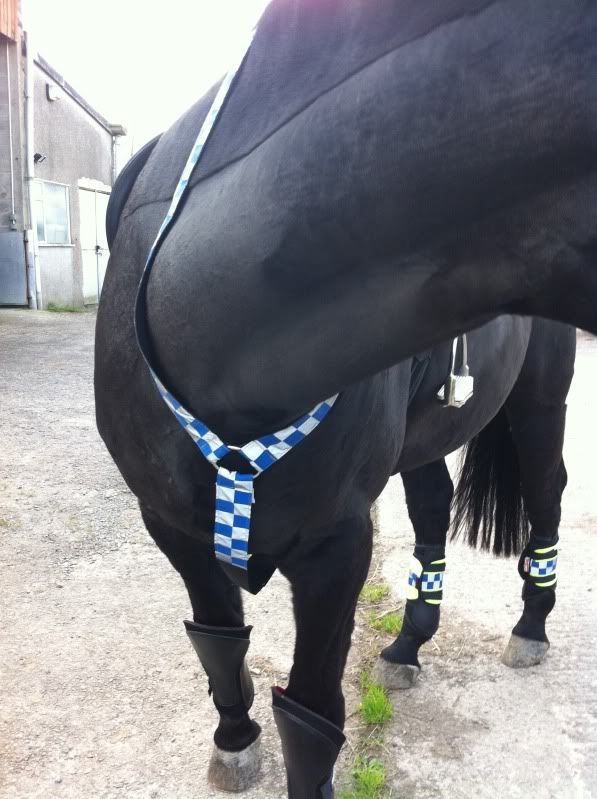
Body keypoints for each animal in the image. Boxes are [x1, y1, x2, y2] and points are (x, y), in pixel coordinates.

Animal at [95, 0, 597, 796]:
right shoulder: (173, 526)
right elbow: (218, 641)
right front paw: (235, 741)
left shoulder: (337, 543)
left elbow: (311, 712)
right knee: (433, 505)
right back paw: (410, 642)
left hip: (540, 403)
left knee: (546, 490)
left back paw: (530, 629)